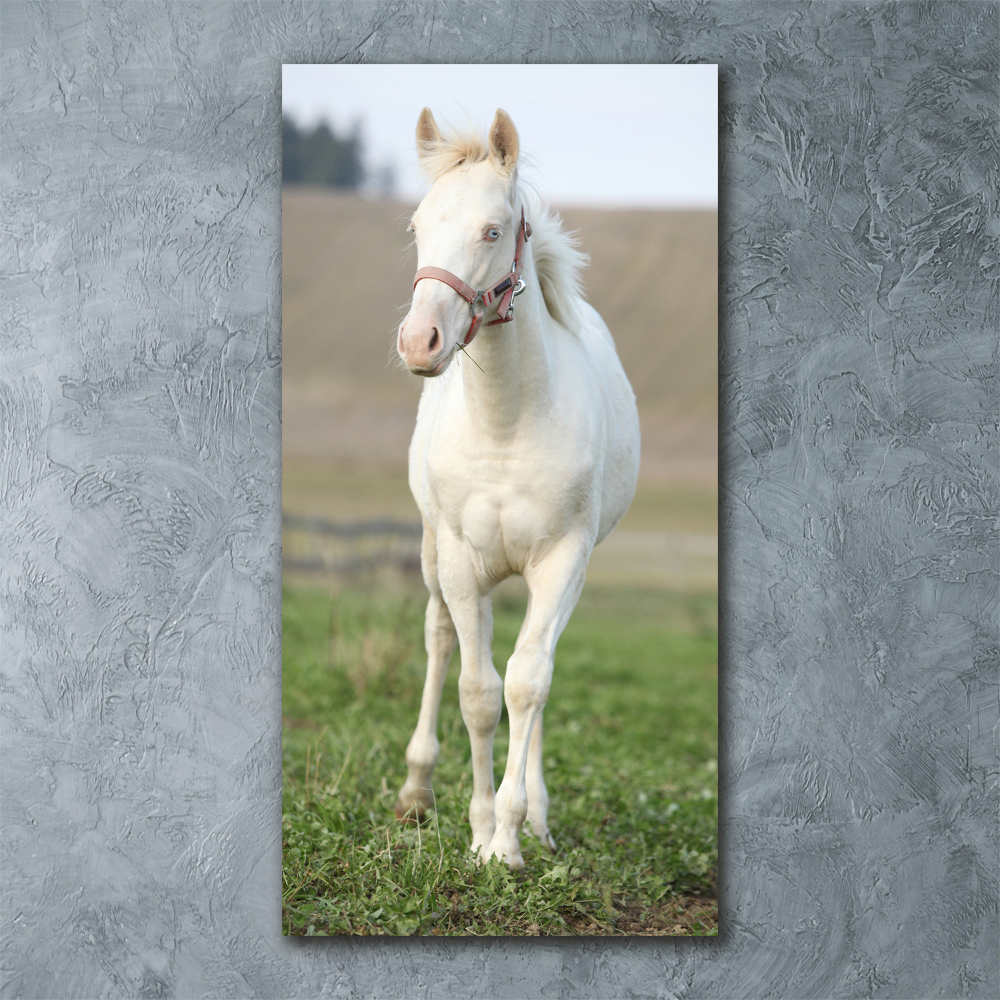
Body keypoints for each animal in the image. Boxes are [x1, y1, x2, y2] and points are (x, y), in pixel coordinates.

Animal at [392, 105, 636, 864]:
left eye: (492, 230)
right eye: (417, 228)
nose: (419, 343)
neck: (505, 426)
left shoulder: (561, 561)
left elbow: (528, 685)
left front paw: (509, 835)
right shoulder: (461, 562)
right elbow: (476, 690)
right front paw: (477, 831)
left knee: (535, 667)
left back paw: (537, 817)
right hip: (434, 554)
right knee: (440, 639)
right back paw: (416, 790)